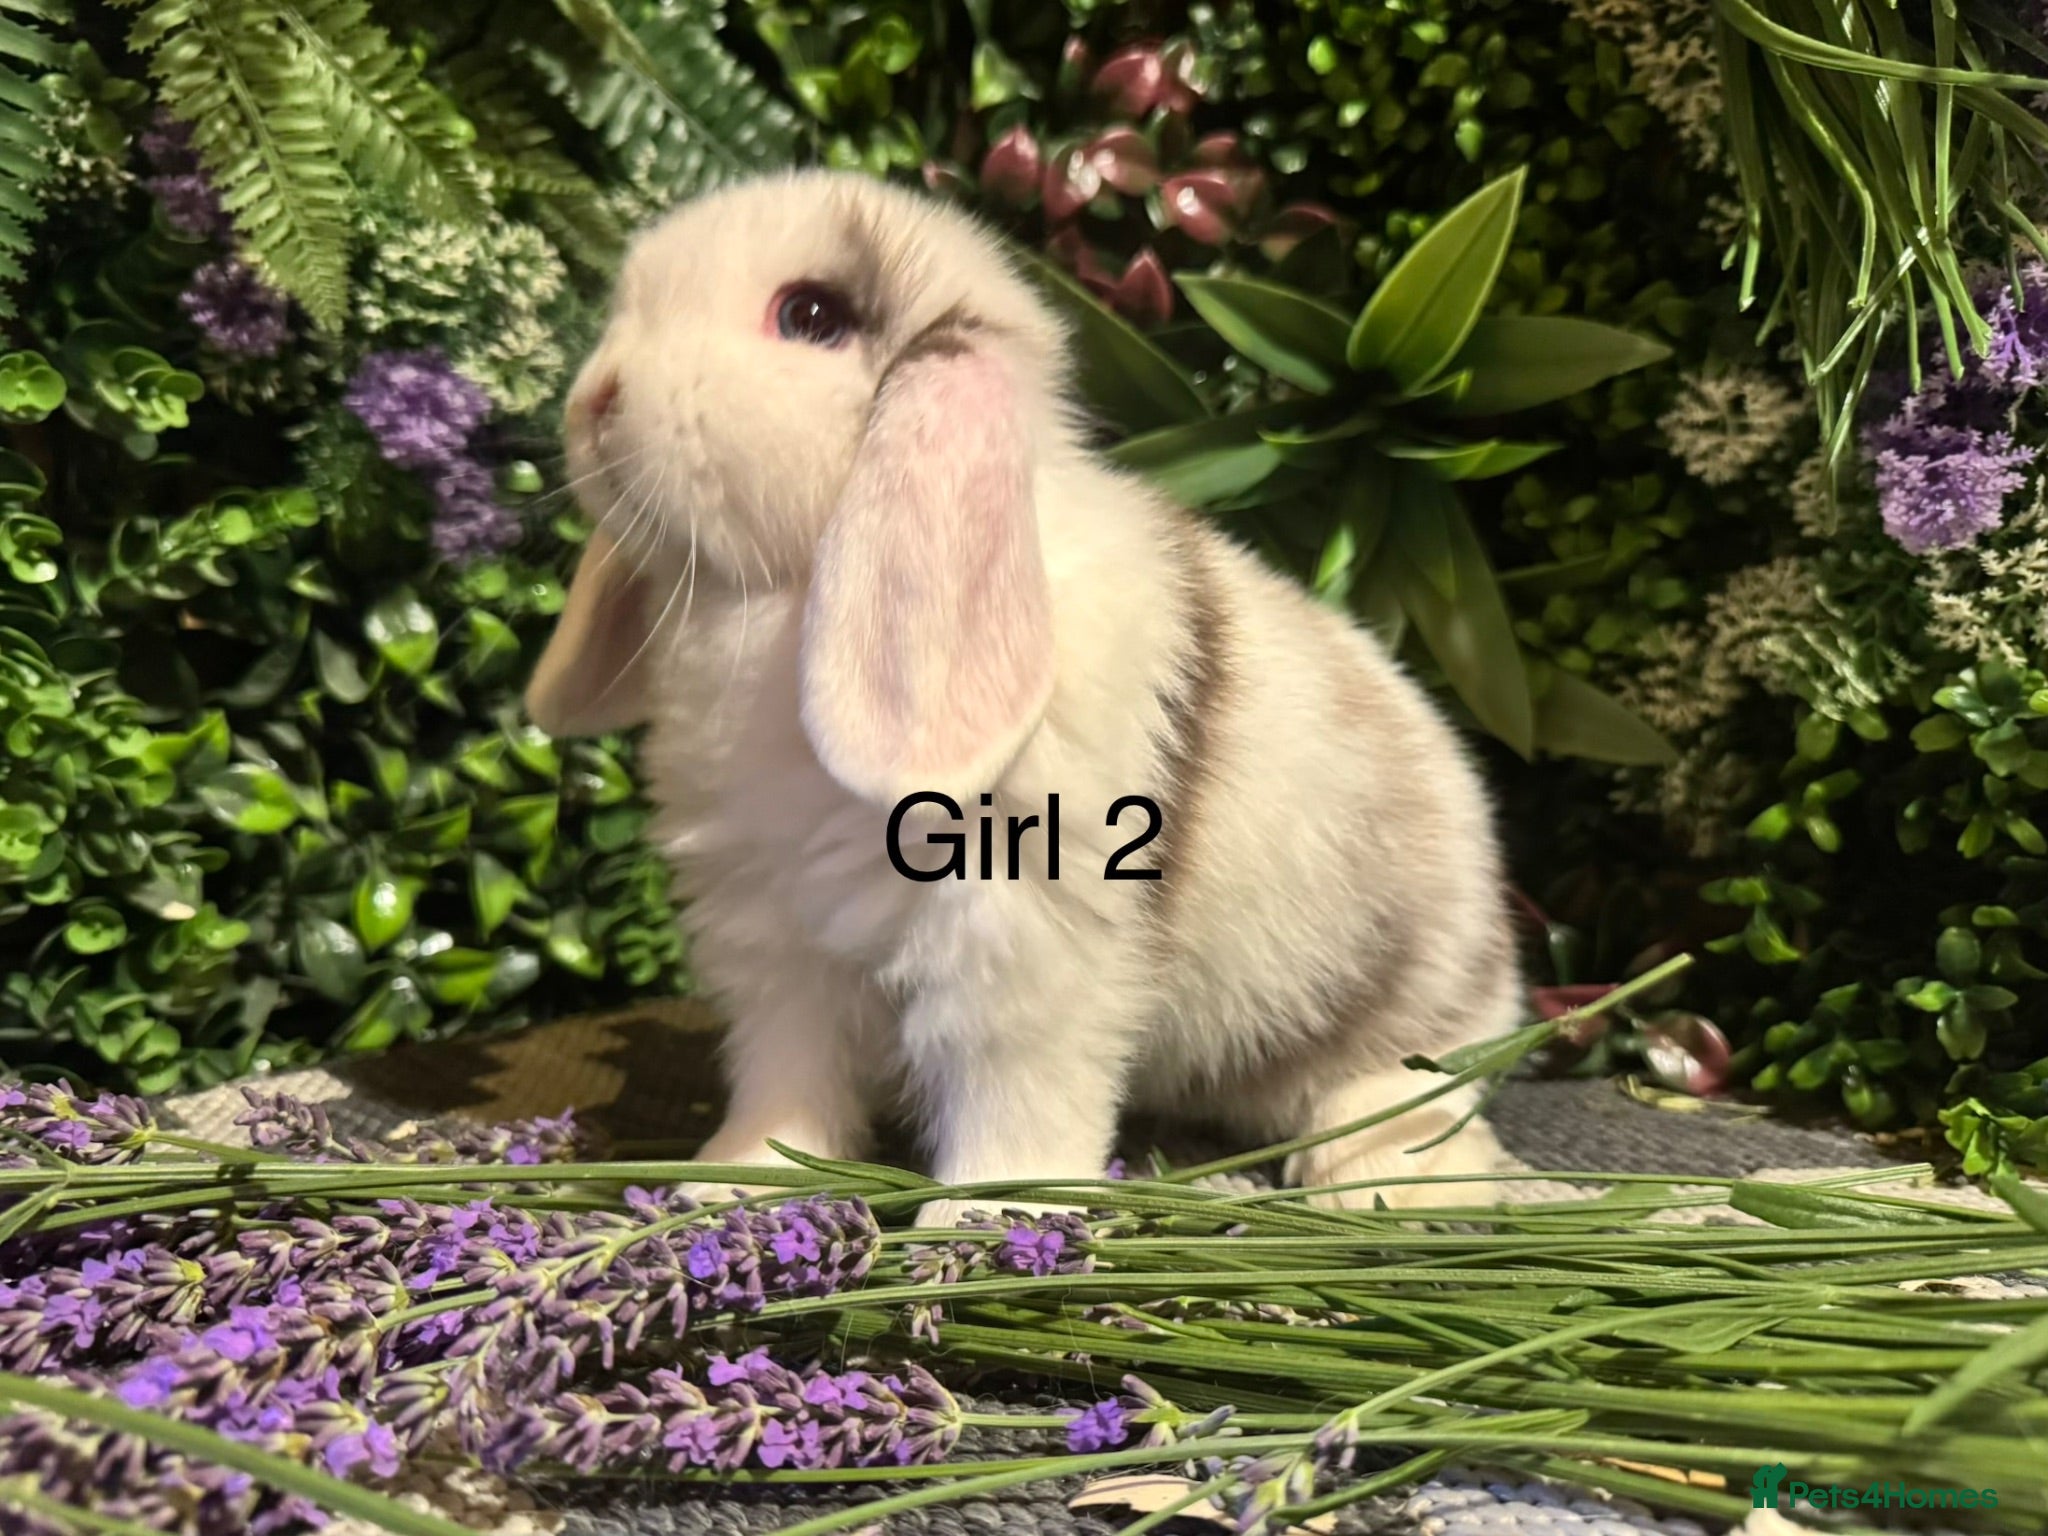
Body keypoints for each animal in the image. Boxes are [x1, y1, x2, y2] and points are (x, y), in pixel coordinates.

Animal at [524, 167, 1520, 1224]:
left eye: (811, 315)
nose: (596, 399)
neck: (782, 606)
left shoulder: (1019, 948)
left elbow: (1011, 1102)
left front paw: (986, 1221)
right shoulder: (782, 952)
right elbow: (788, 1083)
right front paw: (734, 1185)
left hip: (1407, 1005)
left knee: (1417, 1083)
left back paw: (1388, 1181)